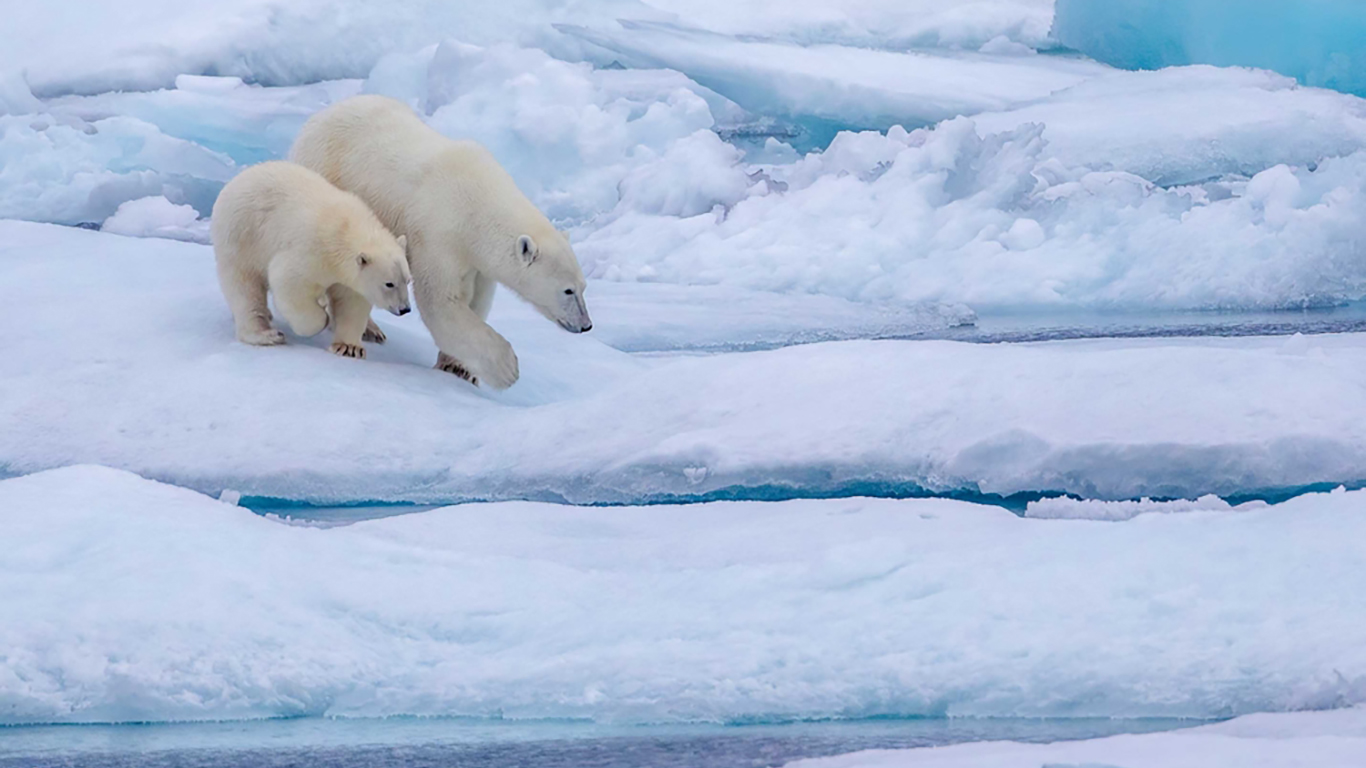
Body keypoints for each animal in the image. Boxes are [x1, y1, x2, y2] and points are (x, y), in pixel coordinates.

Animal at [290, 94, 590, 388]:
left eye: (583, 287)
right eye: (568, 290)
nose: (586, 325)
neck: (478, 202)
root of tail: (320, 117)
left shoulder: (478, 261)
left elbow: (477, 300)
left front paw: (458, 366)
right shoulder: (439, 234)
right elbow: (441, 301)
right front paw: (507, 368)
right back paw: (365, 329)